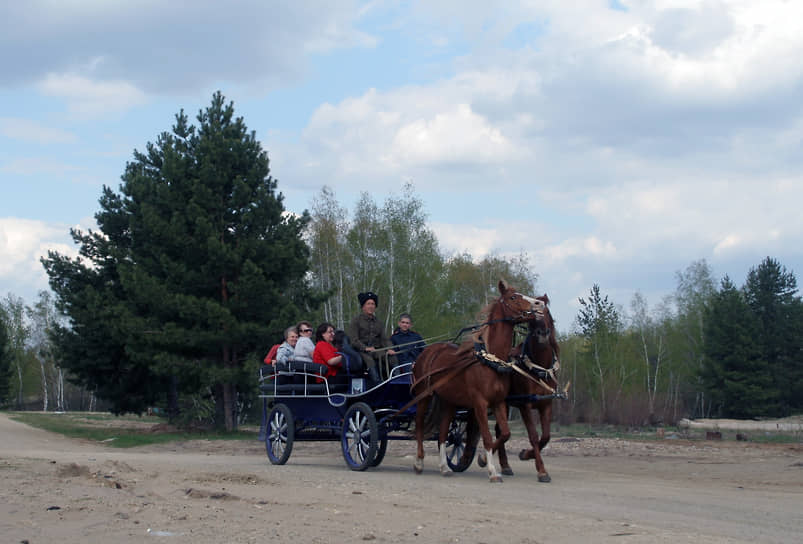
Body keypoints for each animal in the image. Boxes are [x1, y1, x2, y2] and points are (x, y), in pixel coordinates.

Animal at [412, 280, 544, 480]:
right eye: (513, 297)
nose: (539, 304)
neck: (490, 361)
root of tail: (427, 351)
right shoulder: (480, 403)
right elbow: (488, 437)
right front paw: (492, 471)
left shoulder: (498, 402)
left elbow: (505, 433)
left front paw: (483, 460)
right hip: (423, 396)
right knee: (420, 425)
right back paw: (419, 462)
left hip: (448, 401)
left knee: (442, 432)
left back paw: (444, 467)